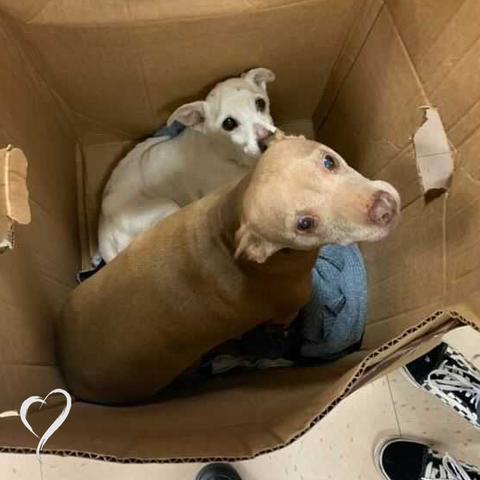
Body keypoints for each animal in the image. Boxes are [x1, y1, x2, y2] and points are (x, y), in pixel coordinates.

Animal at [56, 132, 402, 404]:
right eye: (305, 224)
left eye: (329, 161)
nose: (385, 209)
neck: (228, 223)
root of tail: (67, 369)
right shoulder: (286, 310)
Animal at [98, 67, 278, 262]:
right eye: (228, 123)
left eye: (260, 103)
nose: (267, 141)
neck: (226, 154)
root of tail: (103, 230)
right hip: (166, 208)